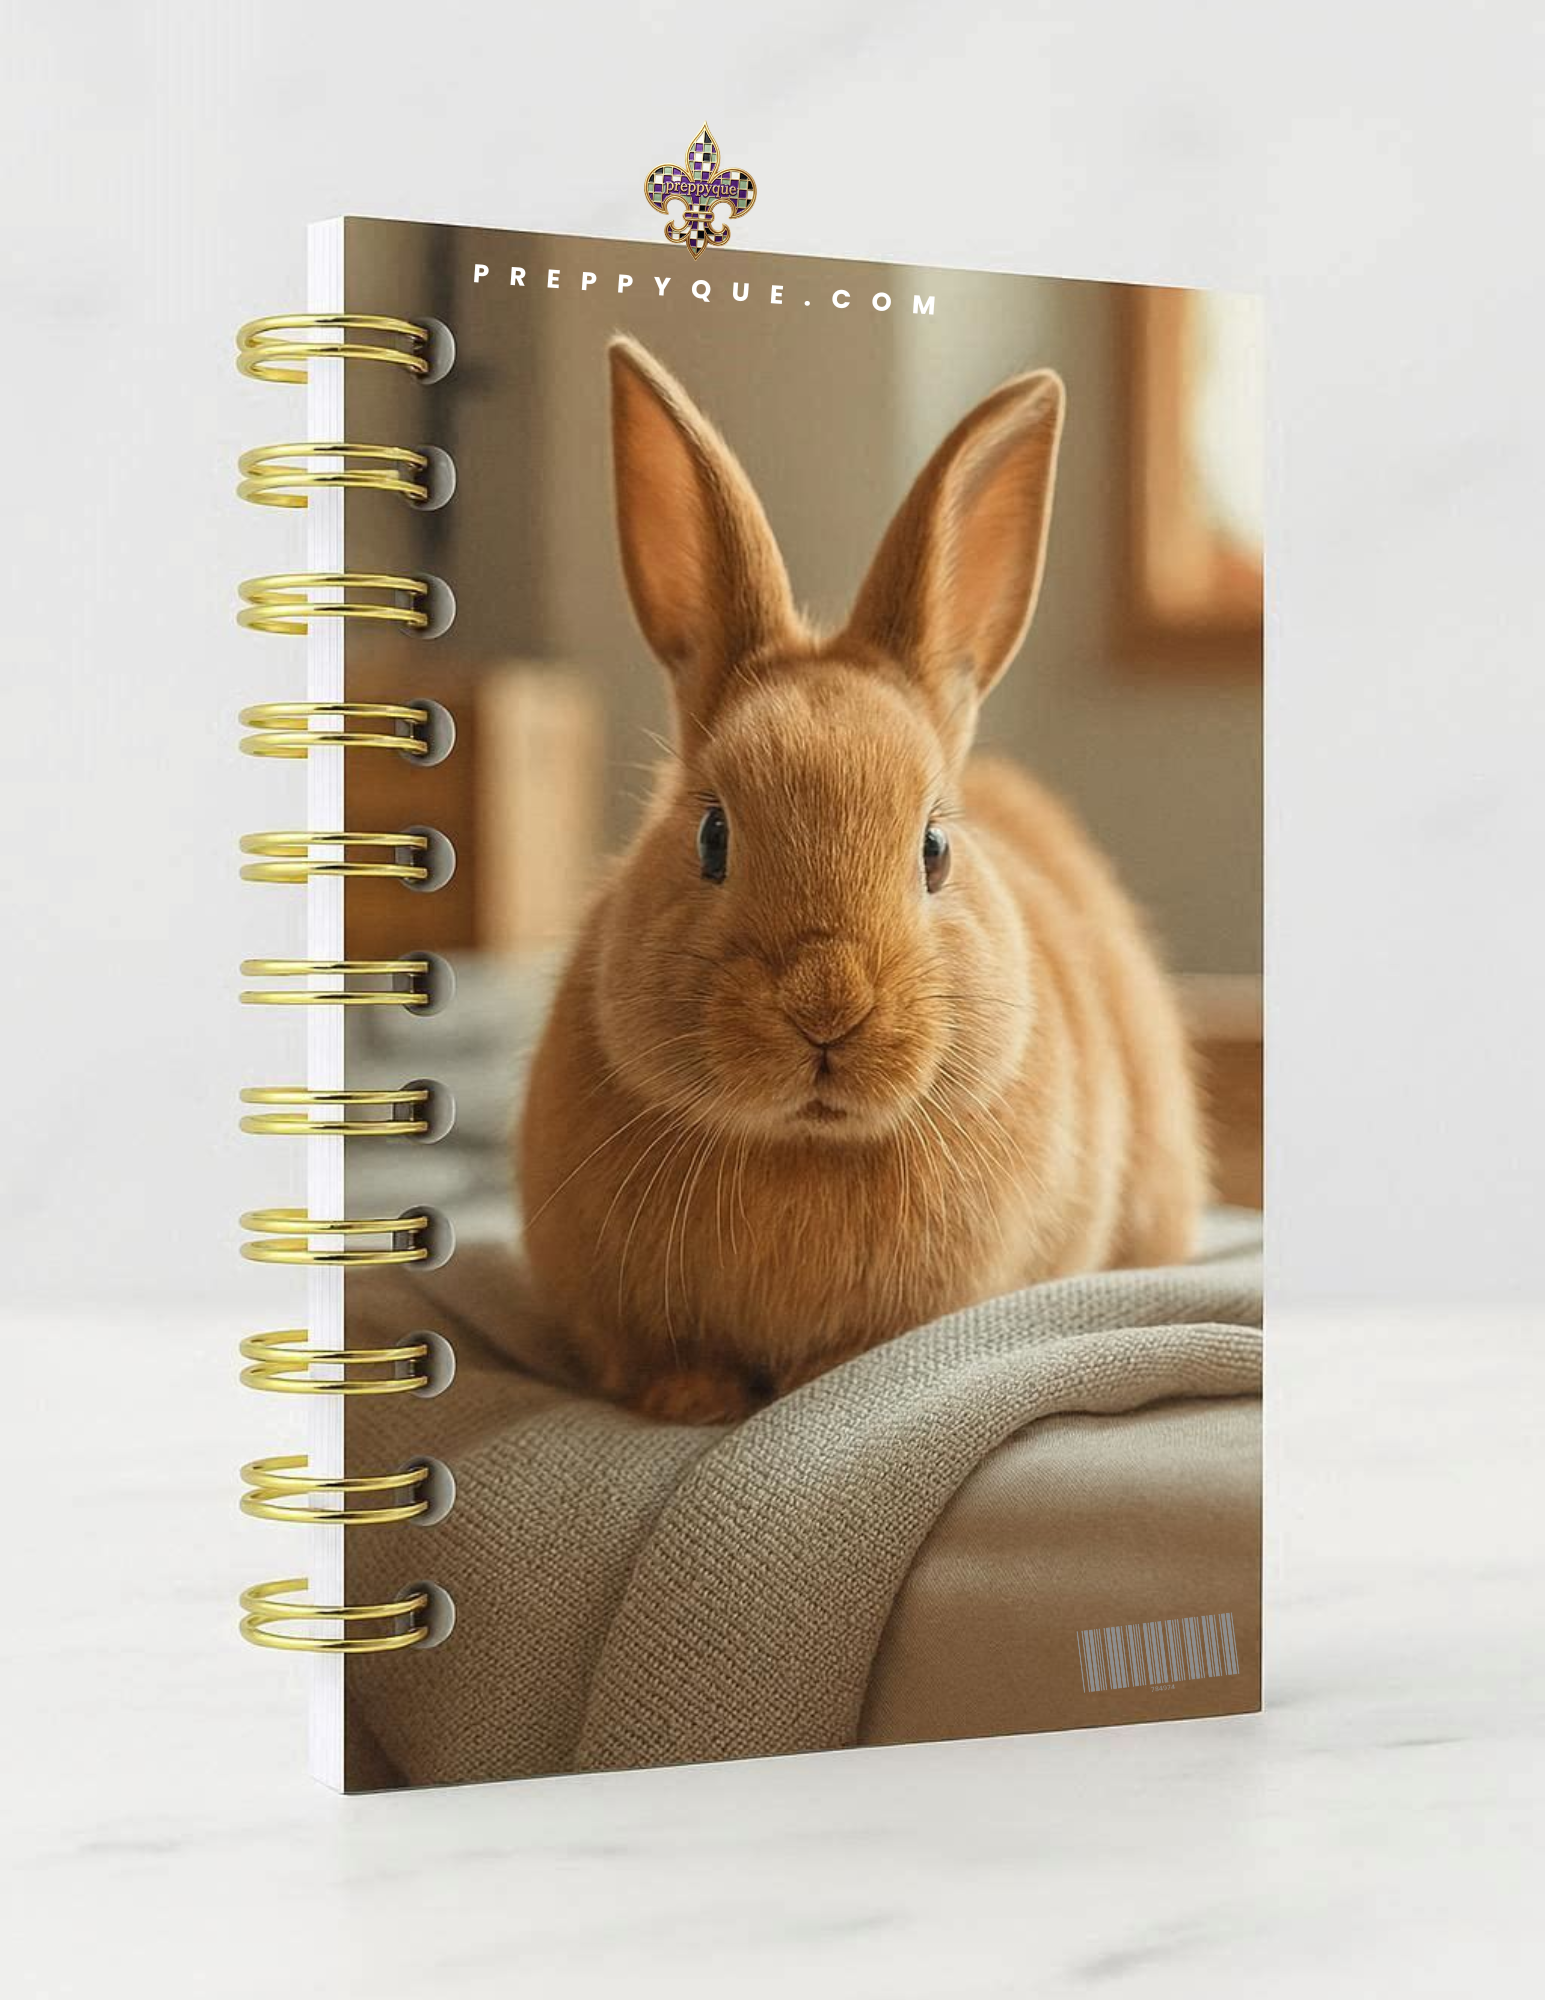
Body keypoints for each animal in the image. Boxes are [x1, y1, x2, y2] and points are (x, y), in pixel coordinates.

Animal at [517, 336, 1208, 1425]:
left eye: (933, 850)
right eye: (711, 835)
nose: (826, 1004)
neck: (805, 1147)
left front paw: (802, 1385)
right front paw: (689, 1400)